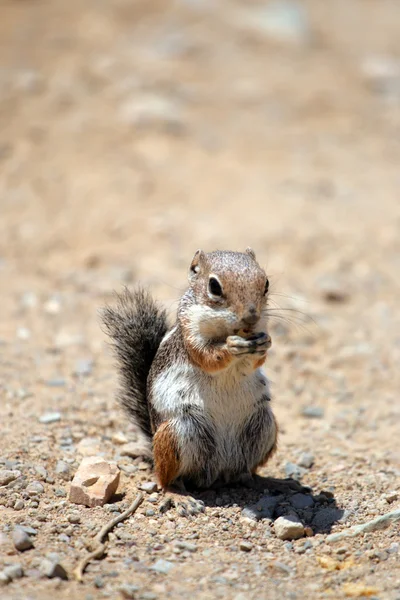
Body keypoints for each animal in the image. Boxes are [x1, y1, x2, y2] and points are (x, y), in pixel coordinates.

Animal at [101, 248, 278, 516]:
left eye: (266, 283)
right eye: (214, 286)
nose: (251, 317)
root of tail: (216, 475)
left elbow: (256, 361)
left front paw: (264, 343)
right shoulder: (190, 335)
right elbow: (209, 357)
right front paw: (230, 347)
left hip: (264, 426)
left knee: (242, 471)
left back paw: (258, 480)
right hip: (178, 433)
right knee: (167, 479)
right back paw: (180, 496)